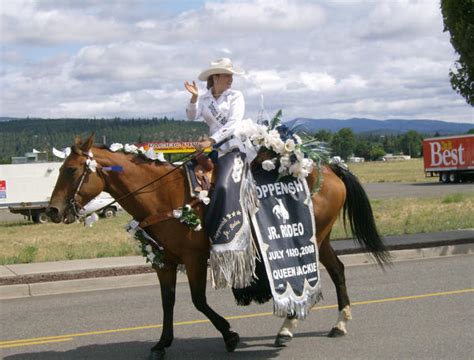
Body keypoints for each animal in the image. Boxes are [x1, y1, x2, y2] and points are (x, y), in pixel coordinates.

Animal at [47, 136, 388, 360]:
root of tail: (329, 168)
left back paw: (294, 324)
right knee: (336, 270)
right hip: (323, 237)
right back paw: (333, 324)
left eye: (72, 170)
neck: (163, 194)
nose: (52, 211)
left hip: (314, 238)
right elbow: (167, 302)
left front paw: (229, 335)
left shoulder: (194, 258)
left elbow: (198, 301)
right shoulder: (164, 261)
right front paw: (162, 344)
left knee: (314, 273)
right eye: (61, 169)